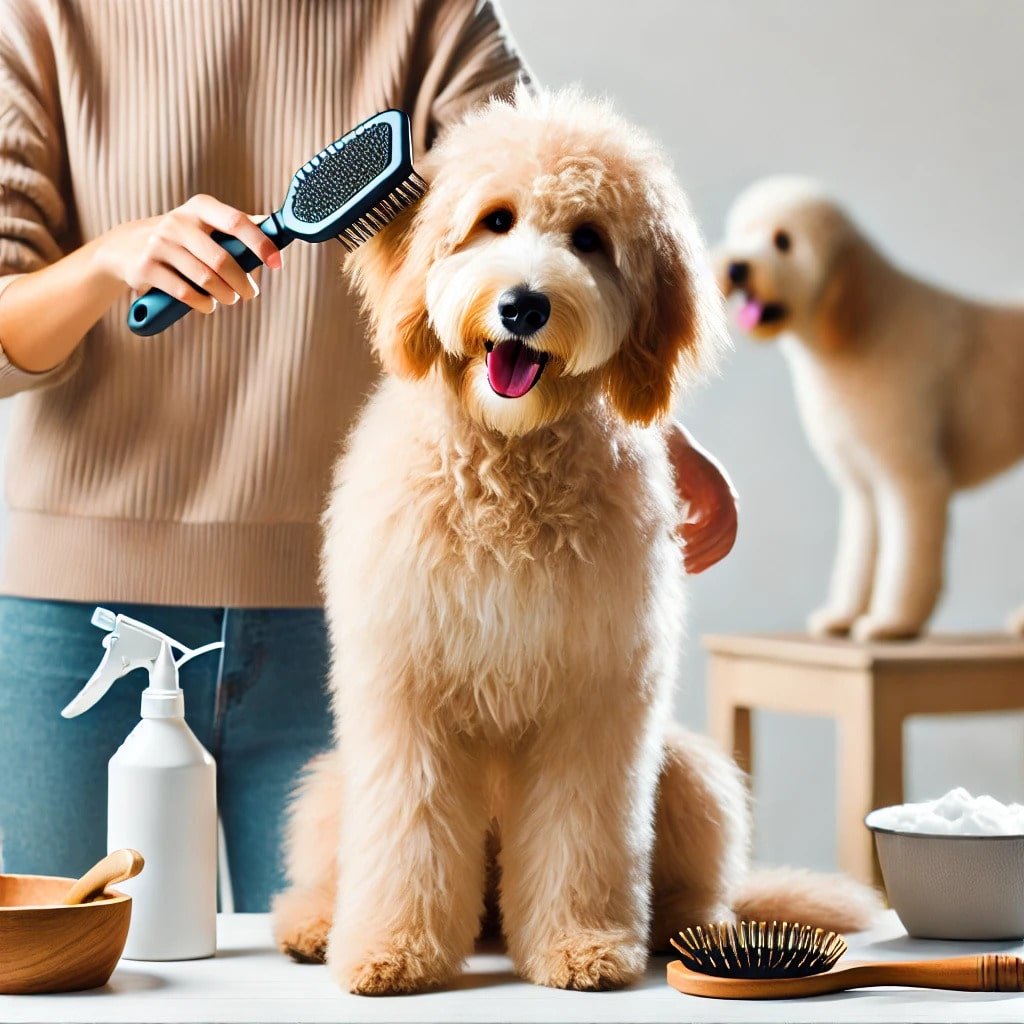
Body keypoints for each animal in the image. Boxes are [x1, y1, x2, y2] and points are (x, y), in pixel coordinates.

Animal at [272, 94, 880, 991]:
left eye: (589, 238)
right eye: (495, 220)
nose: (524, 306)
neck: (508, 463)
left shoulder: (595, 696)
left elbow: (580, 833)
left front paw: (578, 945)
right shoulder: (406, 695)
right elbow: (407, 833)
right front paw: (390, 949)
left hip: (689, 774)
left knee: (697, 886)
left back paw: (693, 932)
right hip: (331, 781)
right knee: (329, 861)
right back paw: (315, 924)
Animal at [716, 177, 1019, 638]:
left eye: (783, 240)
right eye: (741, 231)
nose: (735, 268)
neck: (863, 324)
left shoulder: (912, 478)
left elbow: (906, 560)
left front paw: (891, 623)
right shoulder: (862, 485)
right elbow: (858, 559)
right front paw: (842, 615)